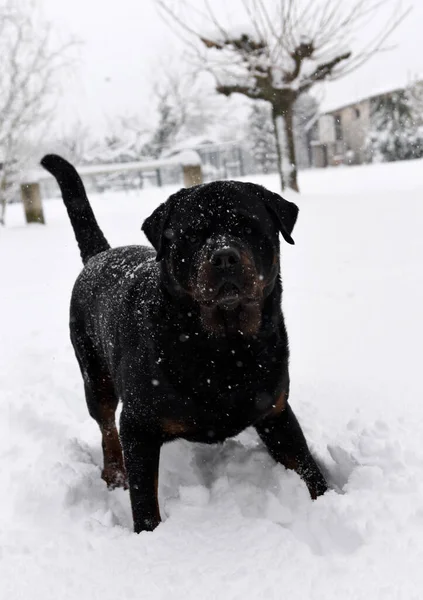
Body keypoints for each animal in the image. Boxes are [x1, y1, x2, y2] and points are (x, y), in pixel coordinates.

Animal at [41, 152, 328, 532]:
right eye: (192, 235)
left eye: (248, 226)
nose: (224, 255)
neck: (225, 348)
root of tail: (100, 255)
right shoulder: (138, 426)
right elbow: (144, 498)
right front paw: (150, 537)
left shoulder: (276, 411)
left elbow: (307, 466)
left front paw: (330, 502)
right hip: (94, 376)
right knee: (105, 428)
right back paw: (115, 473)